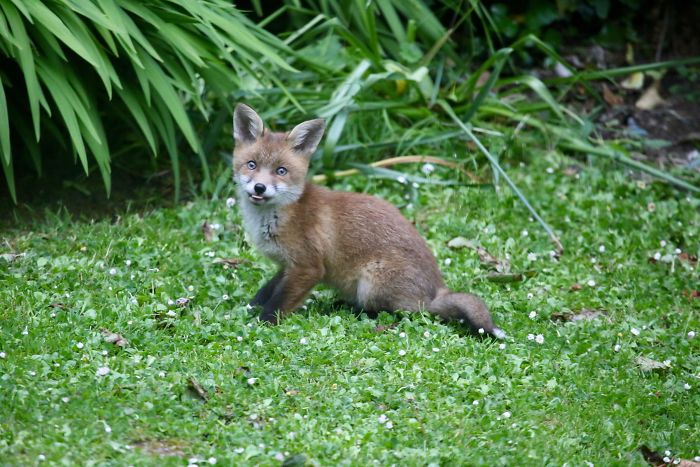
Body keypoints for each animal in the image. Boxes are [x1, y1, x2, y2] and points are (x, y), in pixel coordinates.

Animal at [232, 104, 505, 338]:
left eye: (281, 171)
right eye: (251, 165)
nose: (259, 187)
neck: (276, 217)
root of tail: (435, 290)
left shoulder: (308, 266)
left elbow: (278, 303)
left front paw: (262, 323)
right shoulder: (287, 266)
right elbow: (267, 291)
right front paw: (250, 308)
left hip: (371, 283)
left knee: (408, 313)